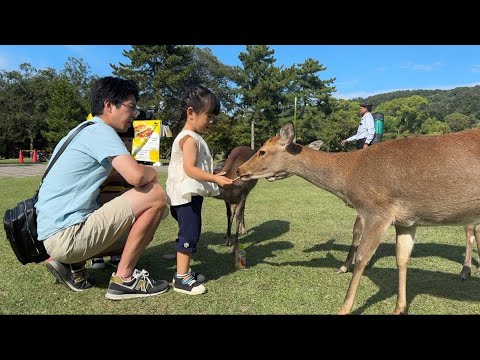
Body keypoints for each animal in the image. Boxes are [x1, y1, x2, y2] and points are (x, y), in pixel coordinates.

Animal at [239, 122, 480, 314]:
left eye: (261, 151)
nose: (240, 170)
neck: (349, 178)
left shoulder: (376, 211)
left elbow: (363, 257)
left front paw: (343, 307)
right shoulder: (406, 221)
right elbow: (402, 258)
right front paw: (399, 308)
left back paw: (465, 272)